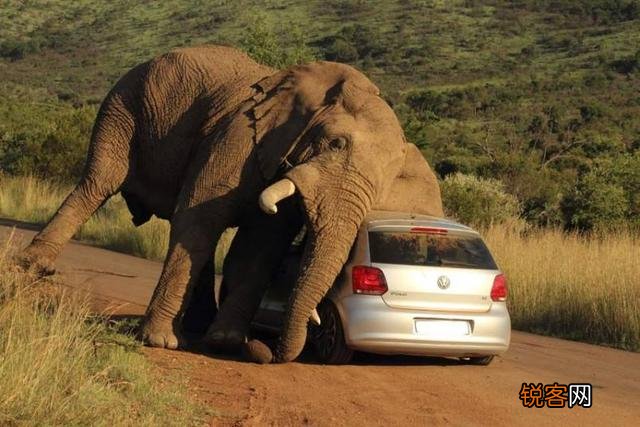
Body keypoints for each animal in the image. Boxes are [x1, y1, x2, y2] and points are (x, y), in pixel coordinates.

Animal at [20, 45, 443, 363]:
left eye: (388, 178)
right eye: (335, 143)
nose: (262, 350)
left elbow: (261, 244)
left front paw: (224, 341)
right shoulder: (241, 136)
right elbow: (201, 218)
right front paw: (161, 342)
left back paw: (197, 328)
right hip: (124, 103)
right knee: (99, 183)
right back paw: (33, 268)